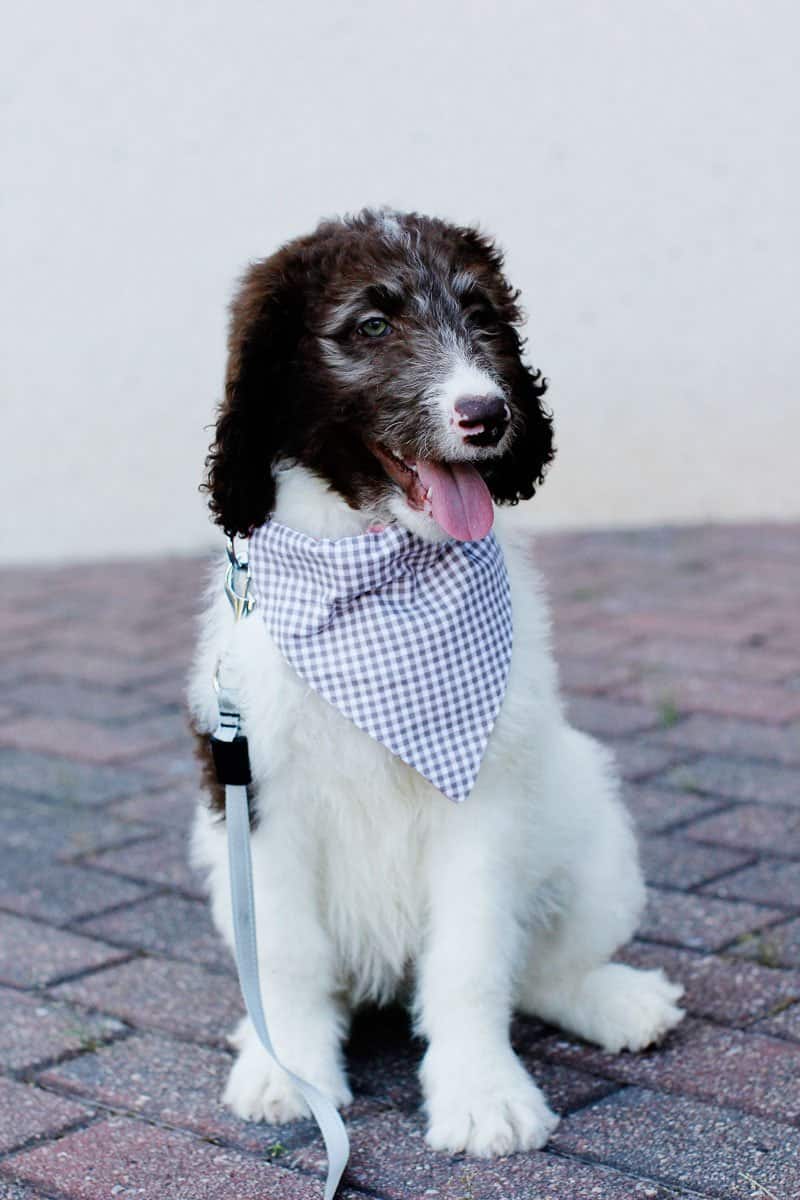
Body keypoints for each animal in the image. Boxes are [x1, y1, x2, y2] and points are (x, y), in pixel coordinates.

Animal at [188, 211, 681, 1156]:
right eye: (373, 326)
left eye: (481, 316)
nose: (489, 415)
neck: (378, 571)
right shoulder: (259, 791)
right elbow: (289, 957)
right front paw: (288, 1073)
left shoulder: (483, 792)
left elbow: (474, 958)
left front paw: (483, 1093)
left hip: (589, 816)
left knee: (545, 968)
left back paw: (617, 1000)